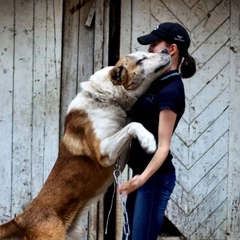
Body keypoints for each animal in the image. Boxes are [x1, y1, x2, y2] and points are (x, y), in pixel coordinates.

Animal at [0, 49, 171, 239]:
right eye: (142, 59)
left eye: (148, 52)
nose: (165, 50)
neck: (105, 97)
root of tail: (21, 219)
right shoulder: (104, 153)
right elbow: (132, 125)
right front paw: (148, 140)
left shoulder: (120, 154)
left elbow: (129, 125)